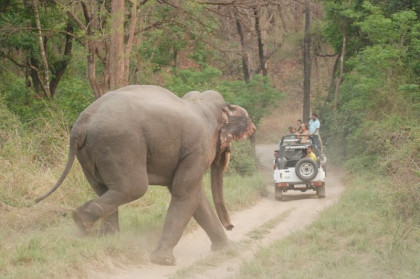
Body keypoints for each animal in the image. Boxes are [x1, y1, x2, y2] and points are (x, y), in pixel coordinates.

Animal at [37, 85, 256, 266]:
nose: (232, 226)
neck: (201, 103)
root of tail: (81, 125)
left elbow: (194, 195)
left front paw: (229, 250)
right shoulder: (197, 149)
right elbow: (185, 192)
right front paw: (163, 261)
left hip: (92, 153)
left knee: (104, 188)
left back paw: (107, 238)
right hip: (120, 144)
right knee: (133, 187)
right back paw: (82, 221)